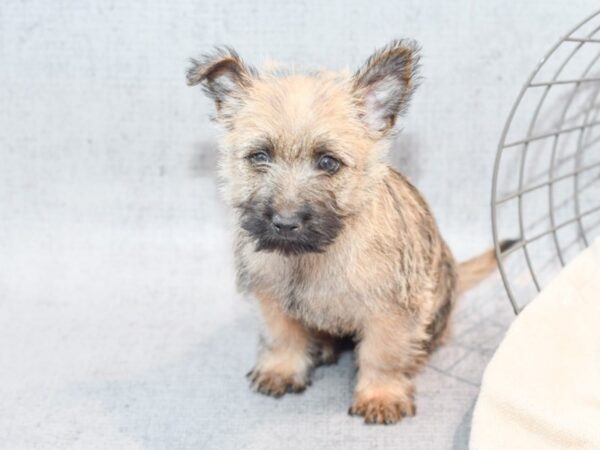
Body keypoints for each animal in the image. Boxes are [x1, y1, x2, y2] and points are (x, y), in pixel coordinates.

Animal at [185, 39, 508, 426]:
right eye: (259, 156)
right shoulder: (271, 296)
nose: (285, 223)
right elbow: (282, 336)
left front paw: (380, 394)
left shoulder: (390, 310)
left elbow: (382, 354)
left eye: (328, 162)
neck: (311, 256)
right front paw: (282, 369)